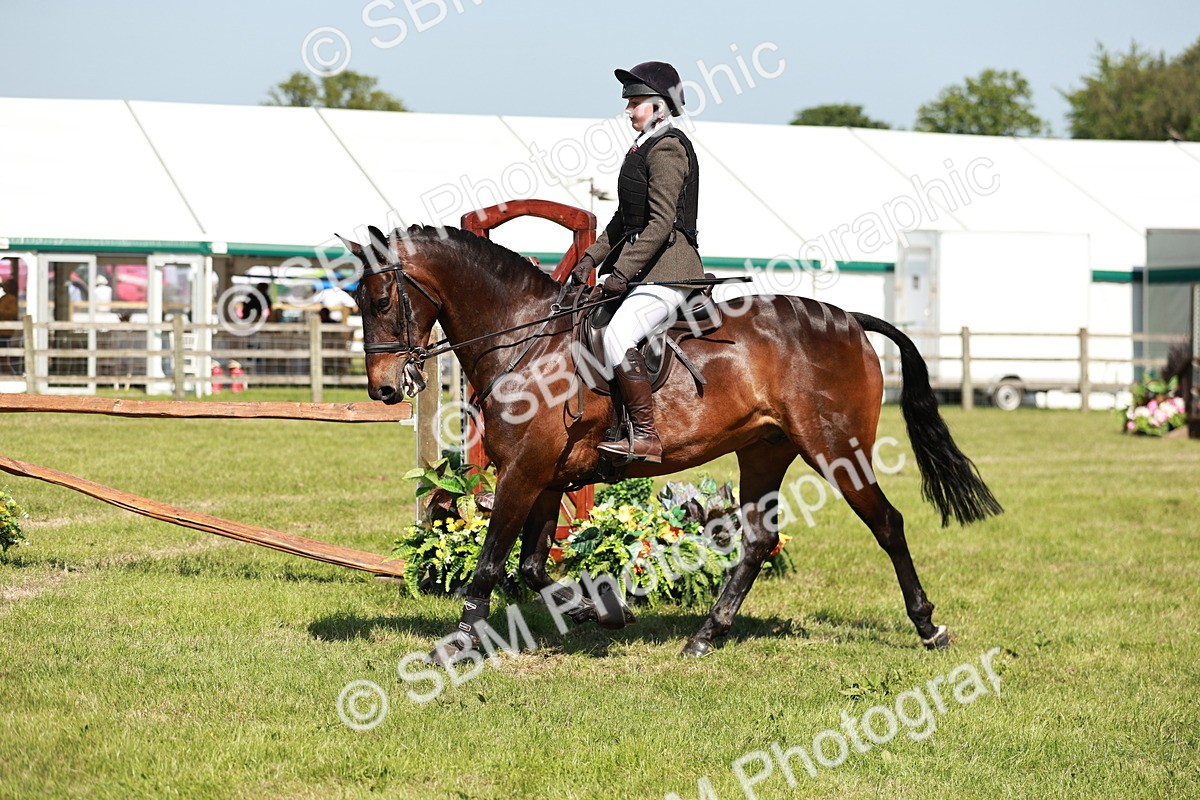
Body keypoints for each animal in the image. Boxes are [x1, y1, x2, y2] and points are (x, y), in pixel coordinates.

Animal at [340, 224, 1002, 661]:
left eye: (381, 298)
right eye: (354, 298)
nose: (383, 388)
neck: (525, 340)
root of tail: (850, 319)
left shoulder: (523, 473)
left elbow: (489, 565)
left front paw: (454, 645)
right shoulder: (546, 477)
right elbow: (530, 567)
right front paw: (606, 608)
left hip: (836, 449)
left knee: (887, 524)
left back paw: (928, 627)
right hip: (764, 449)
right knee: (758, 540)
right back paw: (706, 635)